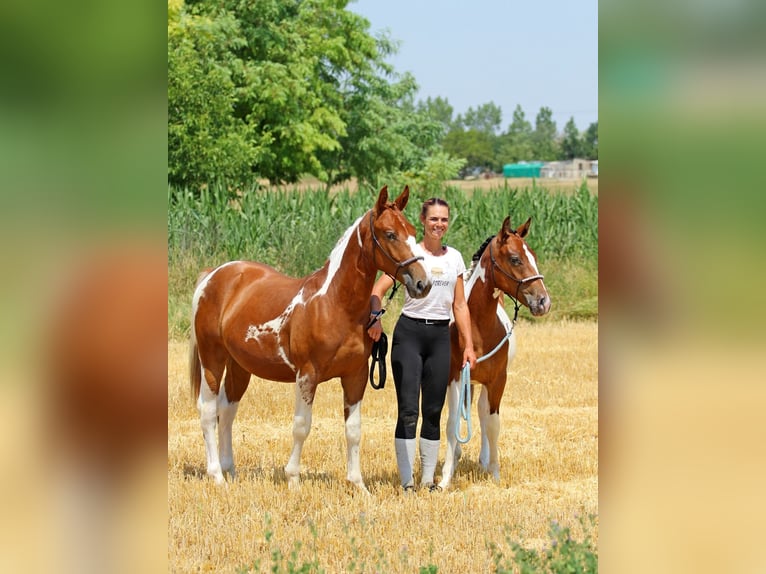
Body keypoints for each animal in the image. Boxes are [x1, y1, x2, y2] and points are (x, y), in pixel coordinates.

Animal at [189, 185, 431, 491]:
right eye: (390, 234)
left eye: (412, 231)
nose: (423, 283)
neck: (334, 304)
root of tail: (214, 275)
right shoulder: (307, 374)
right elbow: (301, 426)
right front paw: (293, 479)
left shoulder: (356, 375)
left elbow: (354, 430)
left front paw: (358, 484)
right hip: (212, 358)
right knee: (208, 410)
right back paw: (217, 476)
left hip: (239, 366)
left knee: (227, 410)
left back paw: (229, 470)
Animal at [439, 216, 551, 491]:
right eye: (515, 258)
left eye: (533, 255)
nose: (543, 301)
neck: (477, 327)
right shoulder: (455, 377)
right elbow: (451, 423)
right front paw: (445, 477)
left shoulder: (499, 380)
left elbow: (493, 423)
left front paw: (495, 472)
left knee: (481, 412)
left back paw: (483, 459)